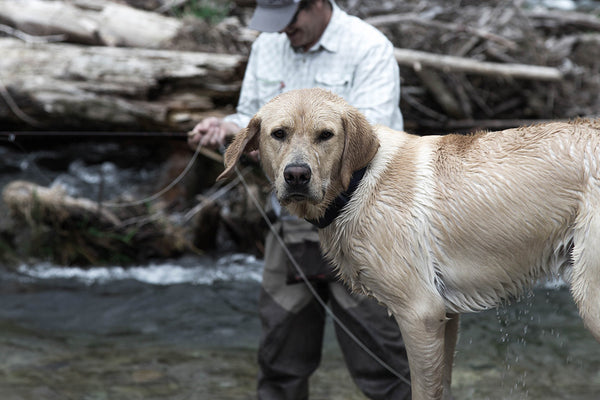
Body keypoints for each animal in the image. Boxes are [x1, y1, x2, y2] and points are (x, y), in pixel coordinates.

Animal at [218, 88, 600, 400]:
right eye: (278, 134)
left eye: (325, 135)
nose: (297, 175)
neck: (358, 184)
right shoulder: (447, 315)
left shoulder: (421, 313)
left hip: (590, 294)